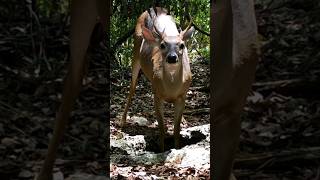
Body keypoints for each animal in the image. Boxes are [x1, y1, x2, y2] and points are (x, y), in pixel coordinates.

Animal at [120, 7, 194, 153]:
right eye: (162, 45)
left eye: (182, 45)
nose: (172, 57)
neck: (171, 88)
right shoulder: (157, 95)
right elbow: (161, 129)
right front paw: (161, 150)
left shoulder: (182, 95)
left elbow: (176, 130)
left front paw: (177, 147)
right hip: (135, 51)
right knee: (132, 87)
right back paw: (122, 121)